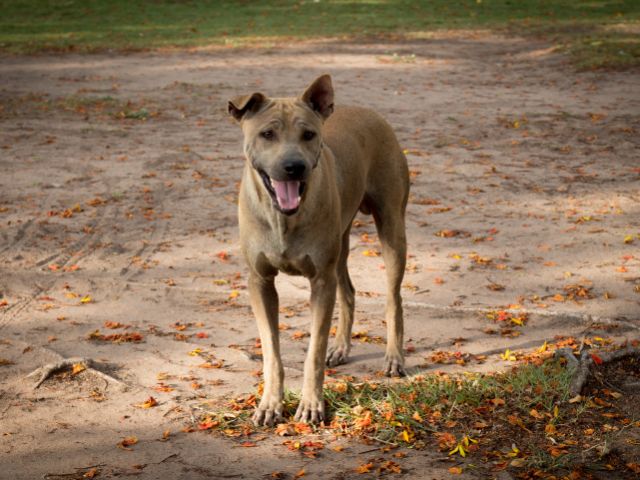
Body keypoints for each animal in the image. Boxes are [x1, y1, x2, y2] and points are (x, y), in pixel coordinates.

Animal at [230, 73, 408, 426]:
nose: (293, 166)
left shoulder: (320, 281)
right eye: (267, 134)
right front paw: (270, 403)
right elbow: (271, 352)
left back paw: (393, 356)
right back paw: (340, 348)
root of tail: (370, 112)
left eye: (309, 134)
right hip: (340, 242)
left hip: (392, 227)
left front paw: (312, 404)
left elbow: (313, 350)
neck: (283, 218)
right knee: (348, 291)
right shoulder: (260, 281)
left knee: (393, 298)